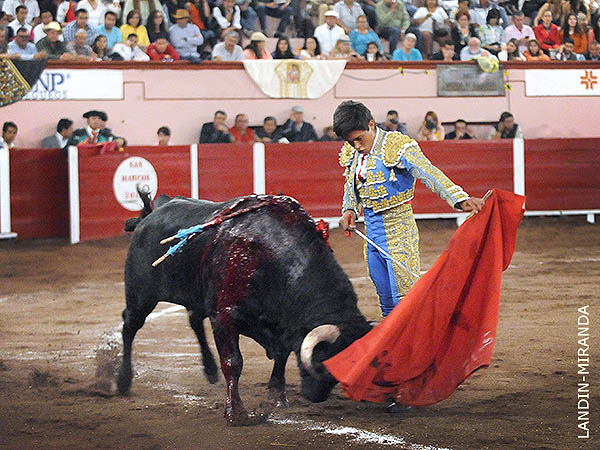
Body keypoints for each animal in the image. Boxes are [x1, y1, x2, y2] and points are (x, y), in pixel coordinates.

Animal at [118, 192, 372, 425]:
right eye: (322, 363)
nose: (315, 396)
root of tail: (148, 217)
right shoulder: (224, 316)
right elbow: (233, 362)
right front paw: (236, 413)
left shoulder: (282, 327)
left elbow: (281, 358)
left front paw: (276, 399)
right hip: (141, 297)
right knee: (129, 326)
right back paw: (123, 381)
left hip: (195, 295)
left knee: (194, 320)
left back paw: (210, 370)